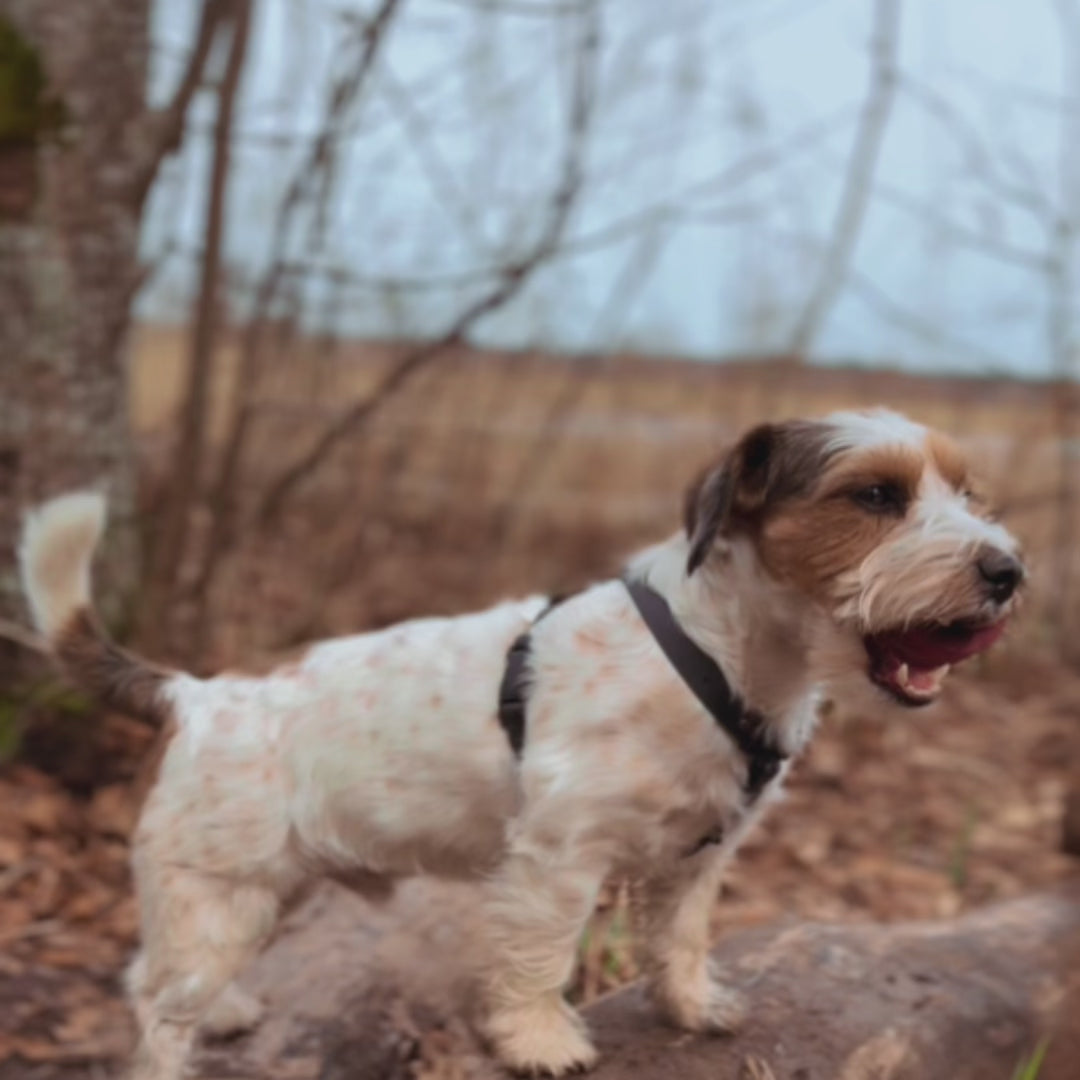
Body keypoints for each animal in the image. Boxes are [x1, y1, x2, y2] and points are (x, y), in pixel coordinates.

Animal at [21, 406, 1023, 1080]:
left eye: (968, 493)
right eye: (876, 495)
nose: (1008, 570)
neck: (714, 658)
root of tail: (196, 696)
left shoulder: (697, 861)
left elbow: (681, 942)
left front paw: (691, 1007)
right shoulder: (558, 861)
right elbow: (542, 960)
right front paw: (542, 1041)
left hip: (245, 893)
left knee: (149, 973)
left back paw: (228, 1012)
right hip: (218, 900)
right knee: (159, 1012)